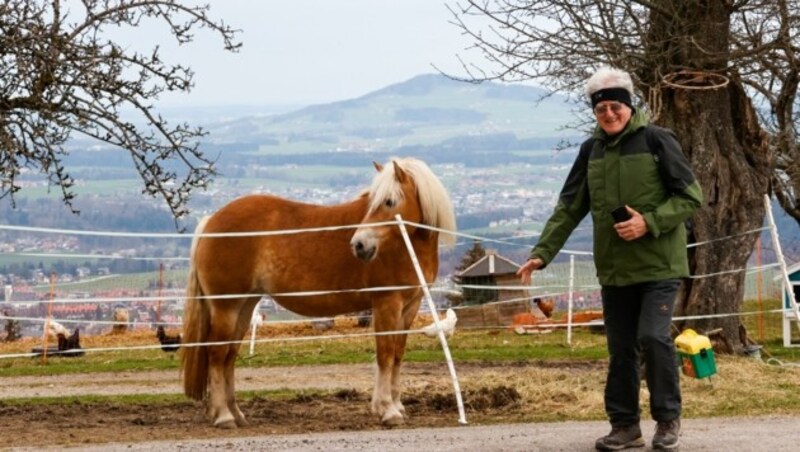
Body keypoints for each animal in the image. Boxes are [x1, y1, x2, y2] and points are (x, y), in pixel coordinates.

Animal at [181, 157, 456, 430]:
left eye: (389, 201)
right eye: (374, 202)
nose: (359, 245)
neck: (405, 245)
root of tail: (211, 221)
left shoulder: (410, 306)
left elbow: (398, 355)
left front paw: (397, 406)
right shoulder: (387, 304)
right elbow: (385, 355)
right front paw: (387, 410)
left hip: (244, 306)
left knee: (229, 356)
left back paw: (236, 413)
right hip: (226, 307)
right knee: (217, 354)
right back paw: (223, 416)